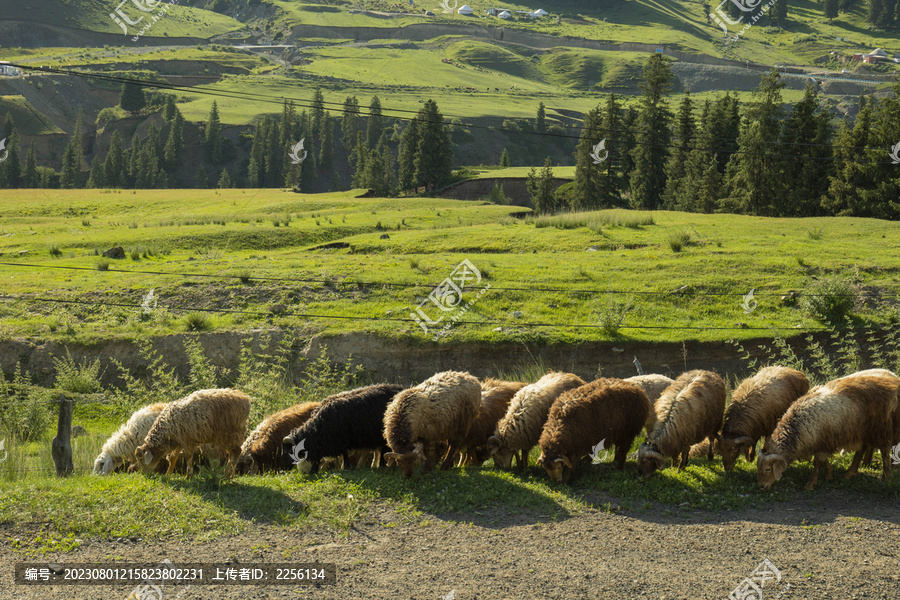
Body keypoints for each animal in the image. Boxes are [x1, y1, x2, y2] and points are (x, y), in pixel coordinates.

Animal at [760, 376, 900, 492]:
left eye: (768, 469)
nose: (761, 487)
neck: (798, 428)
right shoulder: (822, 442)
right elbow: (823, 460)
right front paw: (829, 474)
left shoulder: (823, 440)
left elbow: (817, 462)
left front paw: (811, 484)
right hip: (863, 431)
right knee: (862, 449)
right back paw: (850, 473)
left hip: (880, 429)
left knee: (884, 451)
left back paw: (886, 477)